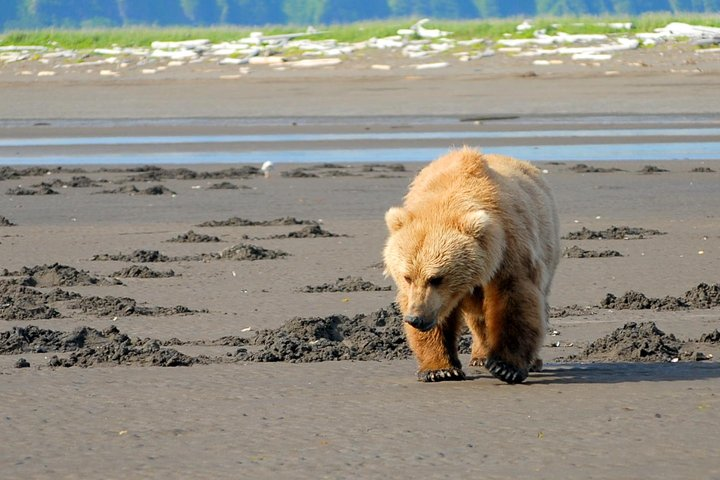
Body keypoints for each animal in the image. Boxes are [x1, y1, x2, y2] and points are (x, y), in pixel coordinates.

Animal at [383, 147, 560, 384]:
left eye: (436, 278)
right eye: (407, 276)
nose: (415, 319)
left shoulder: (510, 251)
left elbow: (514, 300)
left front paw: (506, 367)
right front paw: (440, 369)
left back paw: (531, 361)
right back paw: (480, 355)